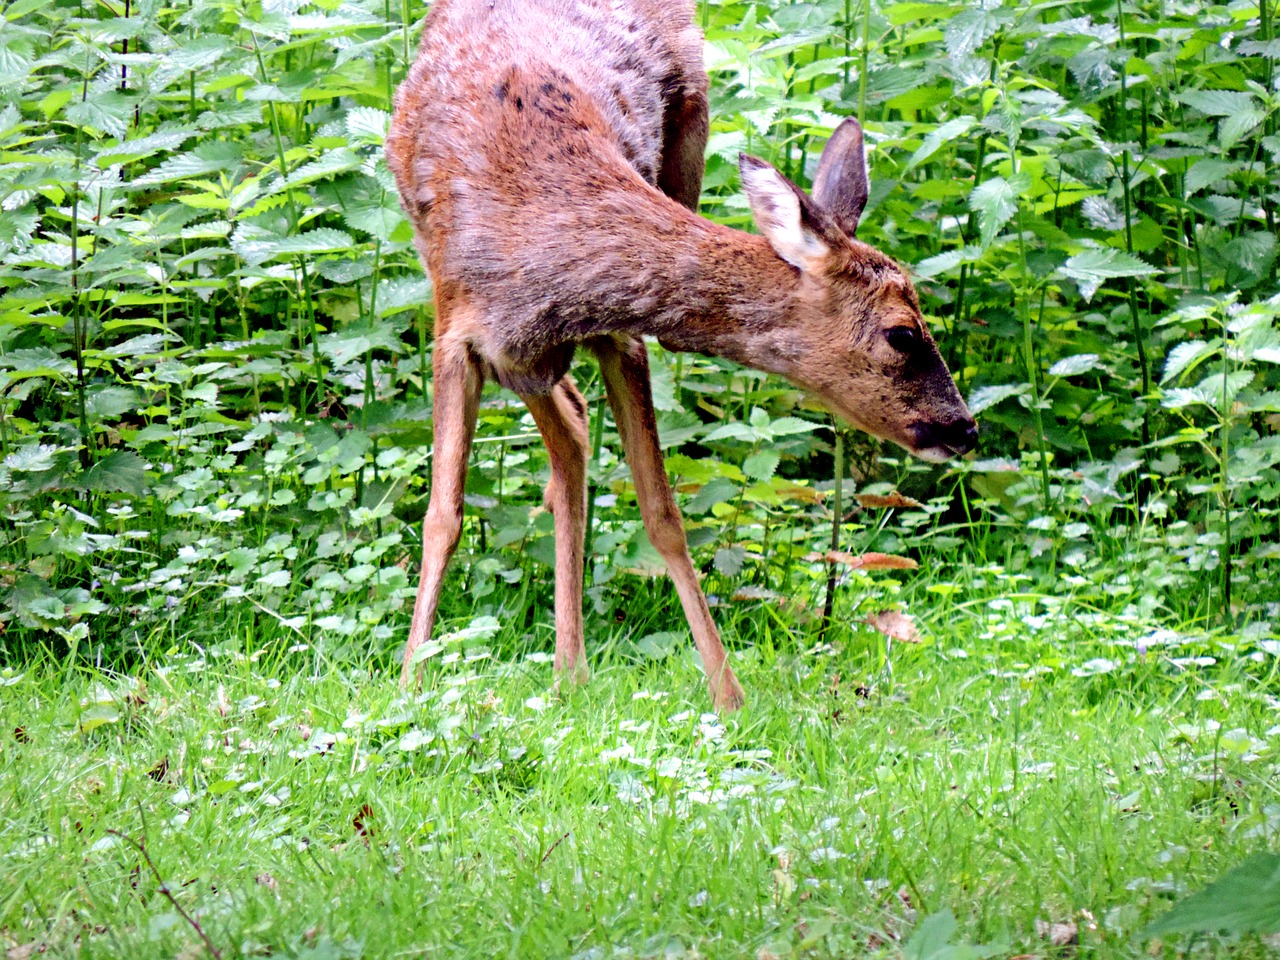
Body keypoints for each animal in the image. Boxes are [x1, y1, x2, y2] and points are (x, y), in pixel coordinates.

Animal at [384, 0, 972, 716]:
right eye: (903, 335)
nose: (963, 427)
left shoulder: (617, 334)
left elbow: (662, 515)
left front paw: (728, 694)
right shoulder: (457, 331)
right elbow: (442, 517)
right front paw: (407, 685)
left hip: (683, 158)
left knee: (573, 430)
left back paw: (570, 670)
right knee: (569, 429)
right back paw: (566, 668)